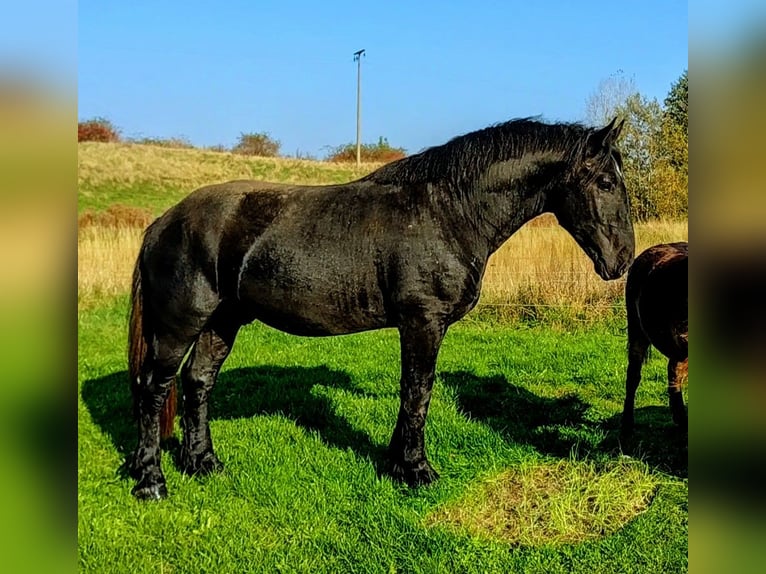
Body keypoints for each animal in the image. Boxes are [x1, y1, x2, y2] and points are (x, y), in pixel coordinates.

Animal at [127, 116, 636, 500]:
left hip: (222, 321)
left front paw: (396, 461)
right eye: (606, 180)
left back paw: (203, 463)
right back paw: (151, 481)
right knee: (154, 390)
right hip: (178, 325)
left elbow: (411, 394)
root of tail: (163, 222)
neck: (446, 211)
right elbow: (418, 392)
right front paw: (416, 470)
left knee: (198, 383)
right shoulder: (423, 322)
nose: (623, 259)